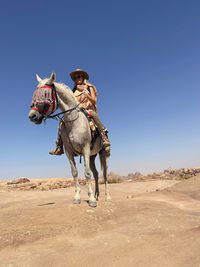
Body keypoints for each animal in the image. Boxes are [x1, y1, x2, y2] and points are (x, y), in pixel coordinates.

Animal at [27, 72, 111, 208]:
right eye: (35, 94)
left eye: (46, 94)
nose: (32, 116)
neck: (73, 121)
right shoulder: (69, 152)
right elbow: (74, 172)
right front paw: (78, 197)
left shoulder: (85, 149)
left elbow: (87, 173)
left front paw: (91, 199)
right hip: (92, 156)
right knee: (96, 173)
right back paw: (97, 195)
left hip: (103, 153)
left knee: (104, 173)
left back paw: (107, 197)